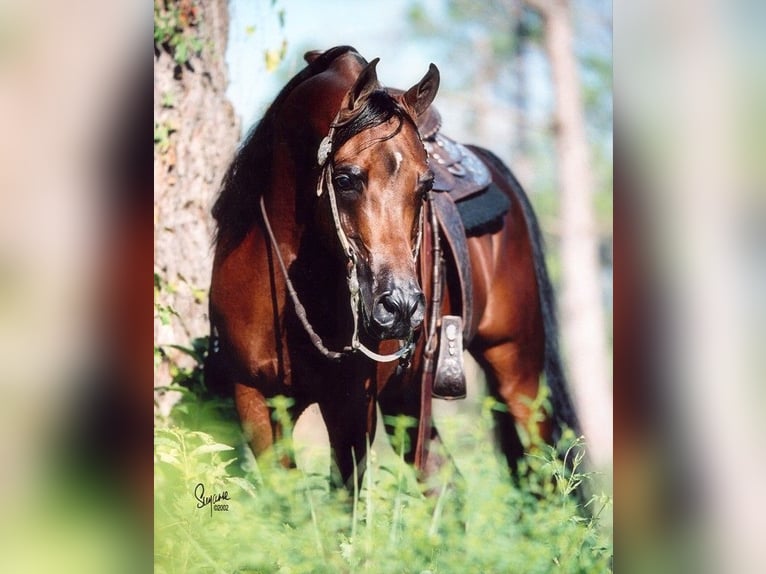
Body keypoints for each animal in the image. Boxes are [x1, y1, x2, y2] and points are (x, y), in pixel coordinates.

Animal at [207, 46, 580, 490]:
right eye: (345, 179)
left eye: (426, 185)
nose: (400, 307)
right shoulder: (255, 398)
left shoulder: (352, 406)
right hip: (409, 400)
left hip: (519, 376)